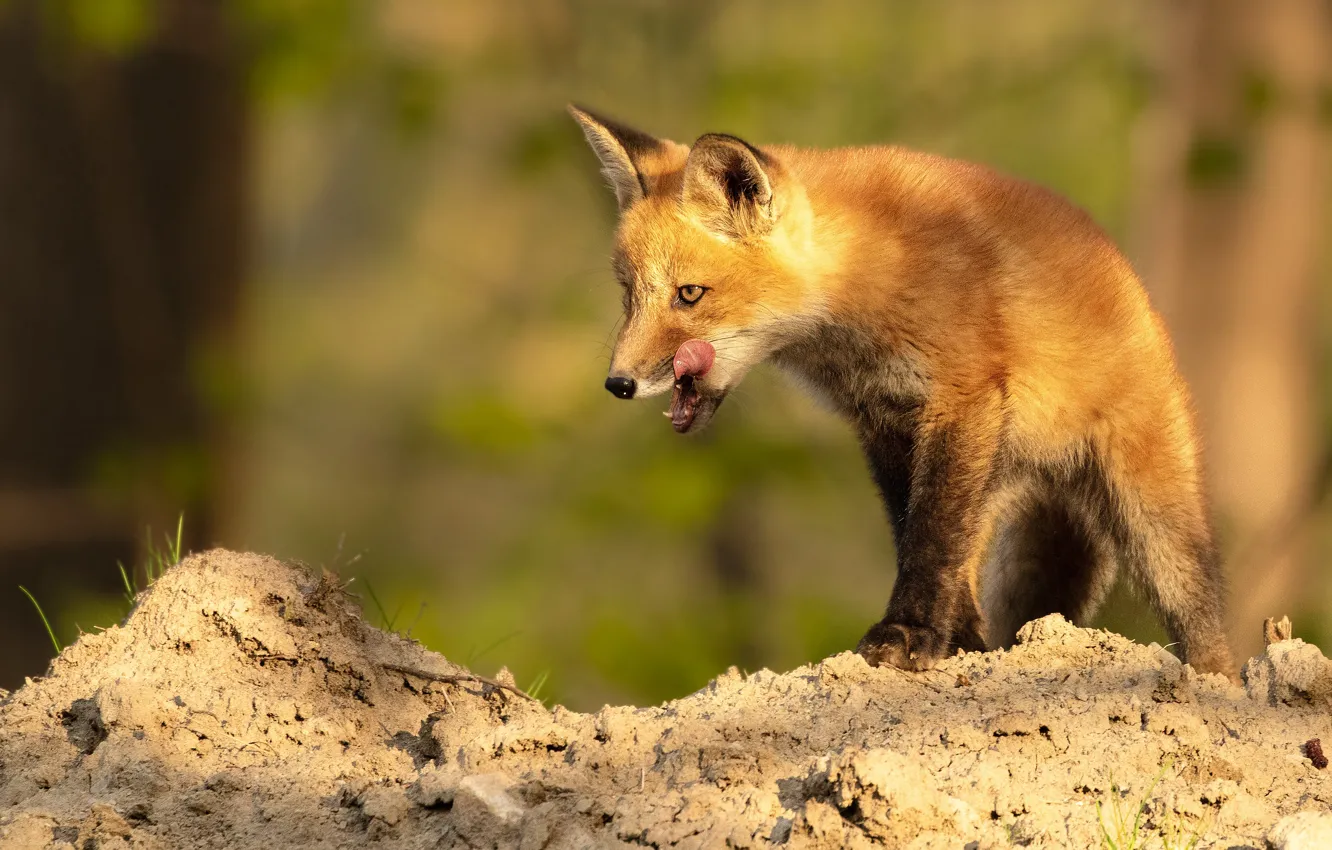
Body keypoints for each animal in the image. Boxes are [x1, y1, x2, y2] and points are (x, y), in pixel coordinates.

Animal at [568, 104, 1236, 678]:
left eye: (689, 295)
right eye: (629, 295)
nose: (618, 383)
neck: (864, 278)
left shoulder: (958, 398)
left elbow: (928, 536)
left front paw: (909, 633)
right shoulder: (883, 422)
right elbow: (912, 532)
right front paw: (951, 641)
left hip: (1150, 509)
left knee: (1200, 614)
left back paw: (1215, 681)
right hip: (993, 493)